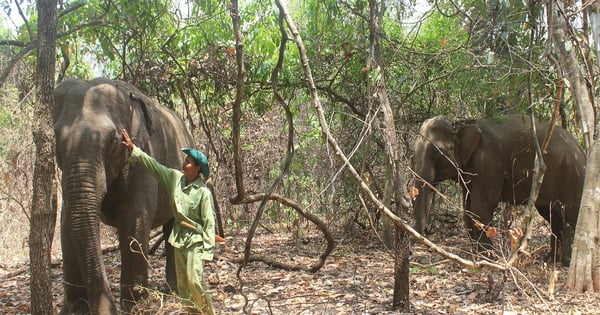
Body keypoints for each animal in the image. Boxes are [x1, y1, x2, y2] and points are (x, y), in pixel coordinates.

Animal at [53, 78, 195, 314]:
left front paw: (135, 307)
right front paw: (75, 309)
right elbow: (66, 224)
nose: (108, 307)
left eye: (113, 139)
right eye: (55, 137)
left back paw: (173, 290)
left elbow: (133, 220)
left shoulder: (143, 158)